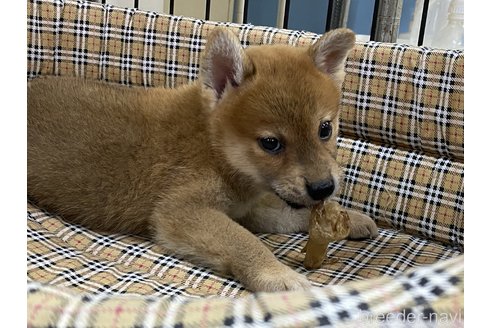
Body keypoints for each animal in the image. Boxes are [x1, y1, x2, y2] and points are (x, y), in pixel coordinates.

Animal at [27, 26, 376, 290]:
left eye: (325, 128)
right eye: (271, 143)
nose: (323, 188)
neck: (214, 147)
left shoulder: (245, 209)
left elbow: (288, 215)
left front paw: (350, 219)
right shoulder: (181, 211)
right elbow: (244, 241)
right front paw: (278, 275)